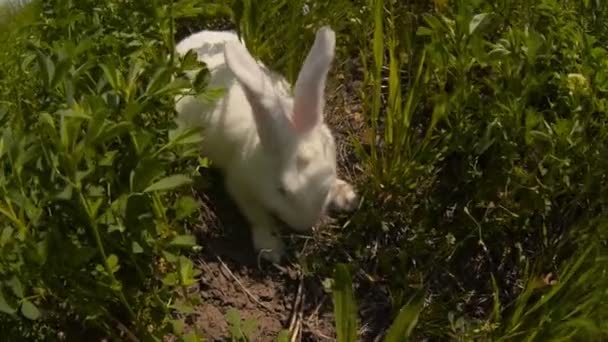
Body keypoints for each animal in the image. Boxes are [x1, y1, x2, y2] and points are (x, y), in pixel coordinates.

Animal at [173, 26, 358, 264]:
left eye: (325, 184)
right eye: (282, 190)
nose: (304, 224)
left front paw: (347, 196)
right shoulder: (240, 185)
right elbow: (258, 216)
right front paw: (271, 249)